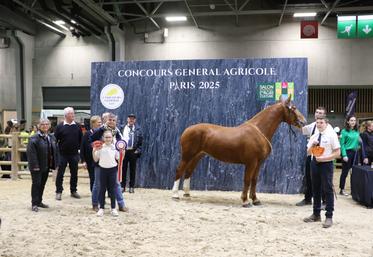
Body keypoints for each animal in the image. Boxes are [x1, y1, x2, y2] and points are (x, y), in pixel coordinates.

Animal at [171, 95, 306, 206]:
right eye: (294, 108)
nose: (303, 122)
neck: (259, 130)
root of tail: (187, 129)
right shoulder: (251, 162)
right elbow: (247, 180)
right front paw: (245, 201)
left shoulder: (259, 163)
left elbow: (254, 180)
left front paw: (255, 199)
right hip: (187, 155)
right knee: (180, 170)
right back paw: (175, 195)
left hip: (197, 156)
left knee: (188, 172)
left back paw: (187, 194)